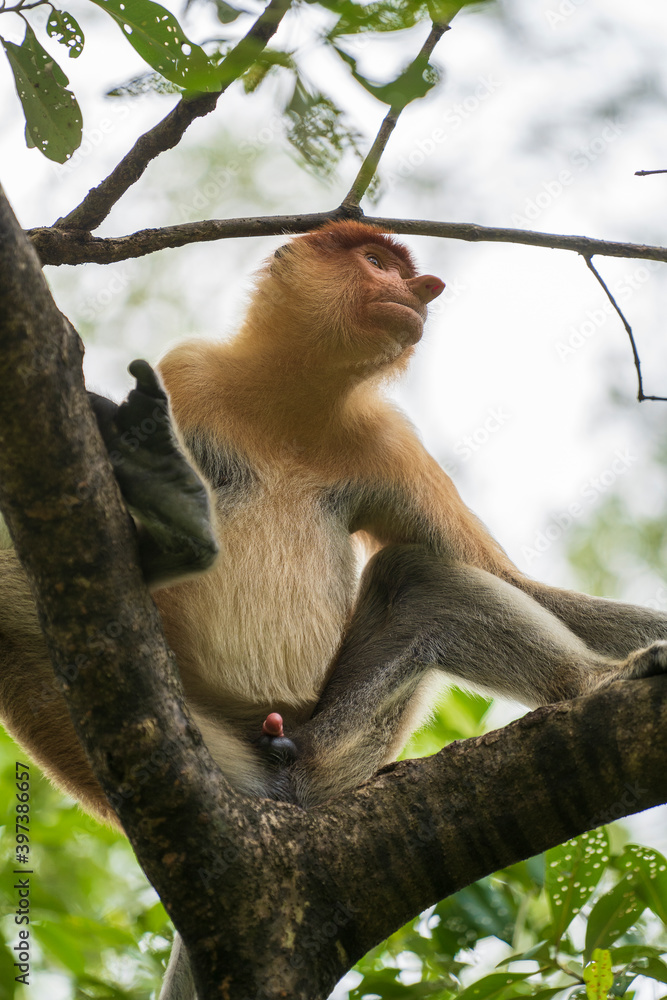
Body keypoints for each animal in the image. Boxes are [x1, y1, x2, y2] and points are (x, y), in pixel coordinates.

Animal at [2, 220, 667, 997]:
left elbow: (506, 579)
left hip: (340, 743)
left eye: (405, 271)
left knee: (419, 581)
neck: (293, 398)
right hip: (218, 746)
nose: (422, 290)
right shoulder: (189, 371)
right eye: (377, 261)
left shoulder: (386, 441)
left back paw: (598, 679)